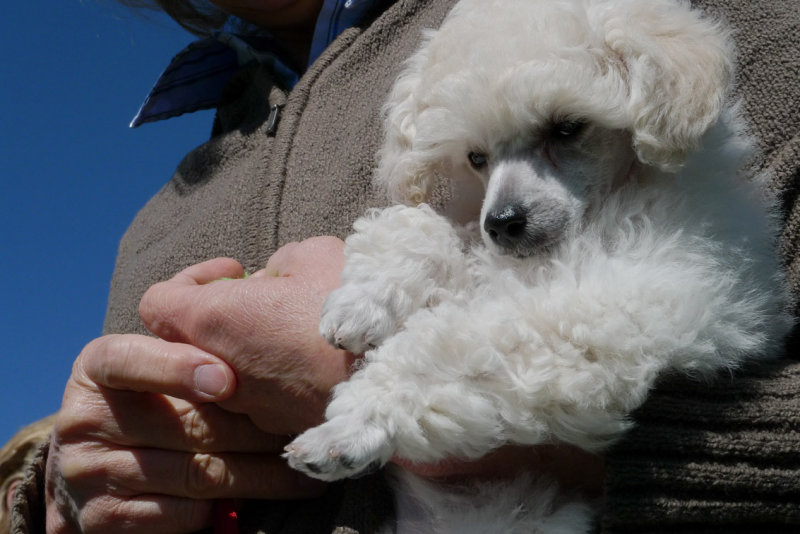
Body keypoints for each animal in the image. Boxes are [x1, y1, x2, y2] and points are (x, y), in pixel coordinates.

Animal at [284, 0, 792, 532]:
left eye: (566, 128)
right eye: (476, 157)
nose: (502, 223)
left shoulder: (620, 307)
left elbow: (453, 351)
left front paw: (353, 423)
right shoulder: (490, 253)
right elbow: (420, 230)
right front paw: (361, 303)